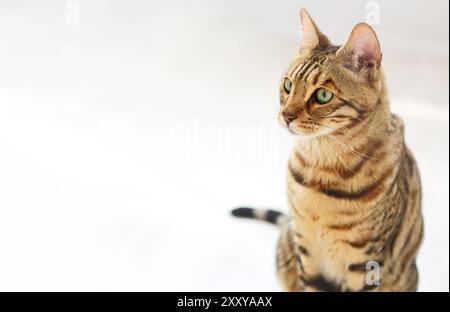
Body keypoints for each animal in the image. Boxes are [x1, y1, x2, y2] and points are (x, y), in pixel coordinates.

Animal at [230, 8, 424, 292]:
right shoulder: (306, 249)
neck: (321, 165)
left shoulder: (364, 261)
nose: (285, 115)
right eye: (288, 86)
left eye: (322, 96)